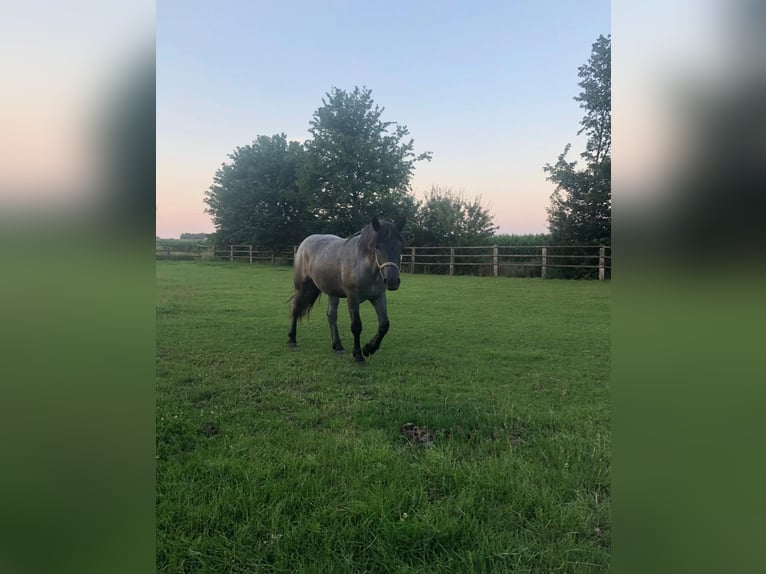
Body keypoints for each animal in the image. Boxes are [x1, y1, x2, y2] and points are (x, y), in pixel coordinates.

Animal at [290, 218, 408, 362]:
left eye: (400, 246)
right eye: (377, 246)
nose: (392, 281)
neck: (365, 266)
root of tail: (305, 242)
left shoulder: (378, 297)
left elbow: (384, 325)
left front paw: (369, 348)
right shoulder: (353, 298)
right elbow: (356, 326)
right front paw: (358, 355)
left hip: (332, 293)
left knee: (331, 315)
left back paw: (338, 346)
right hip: (301, 287)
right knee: (296, 308)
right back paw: (292, 339)